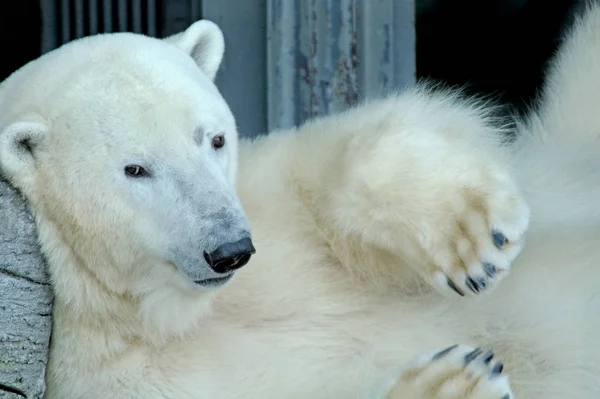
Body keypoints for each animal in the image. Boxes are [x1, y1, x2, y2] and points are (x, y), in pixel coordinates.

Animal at [1, 1, 600, 398]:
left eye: (214, 139)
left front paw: (473, 238)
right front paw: (456, 378)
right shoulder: (120, 378)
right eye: (135, 169)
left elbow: (332, 155)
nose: (230, 250)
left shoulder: (265, 202)